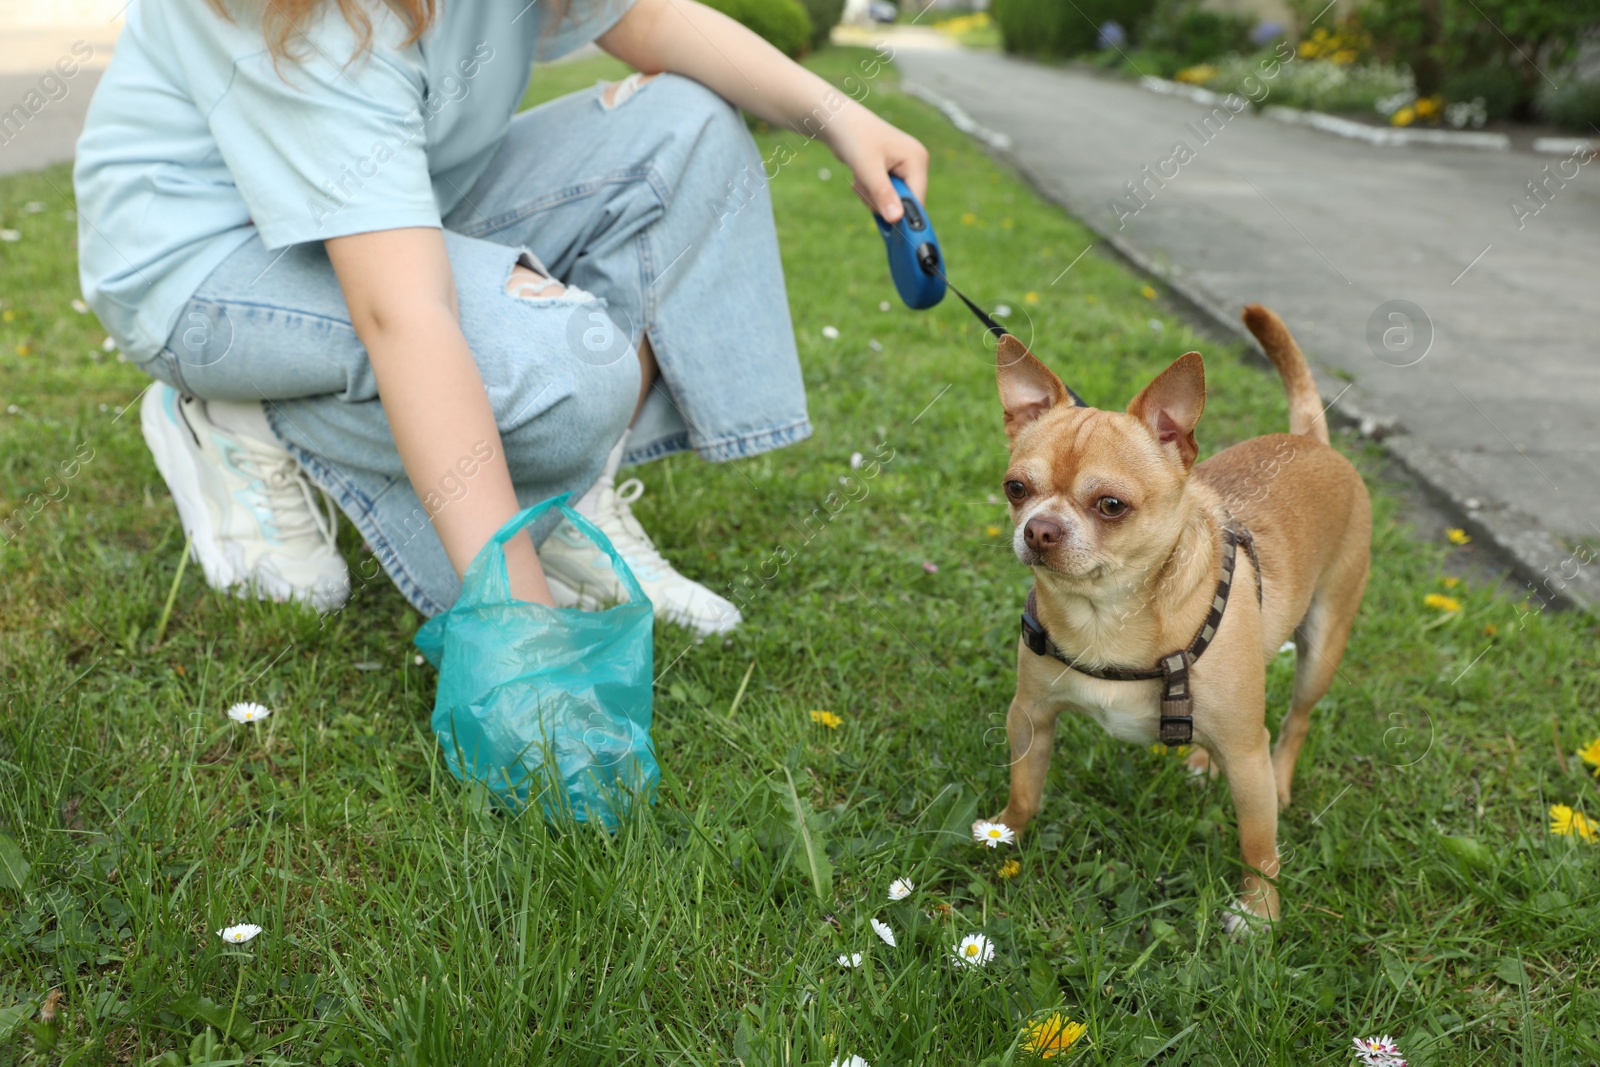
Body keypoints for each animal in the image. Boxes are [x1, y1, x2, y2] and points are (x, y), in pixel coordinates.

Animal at [979, 303, 1369, 927]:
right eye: (1016, 488)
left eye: (1111, 505)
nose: (1038, 529)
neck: (1106, 614)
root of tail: (1311, 441)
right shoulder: (1030, 716)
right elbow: (1024, 788)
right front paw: (1004, 833)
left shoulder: (1248, 755)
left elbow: (1258, 844)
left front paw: (1259, 914)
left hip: (1321, 648)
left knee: (1295, 722)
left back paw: (1280, 779)